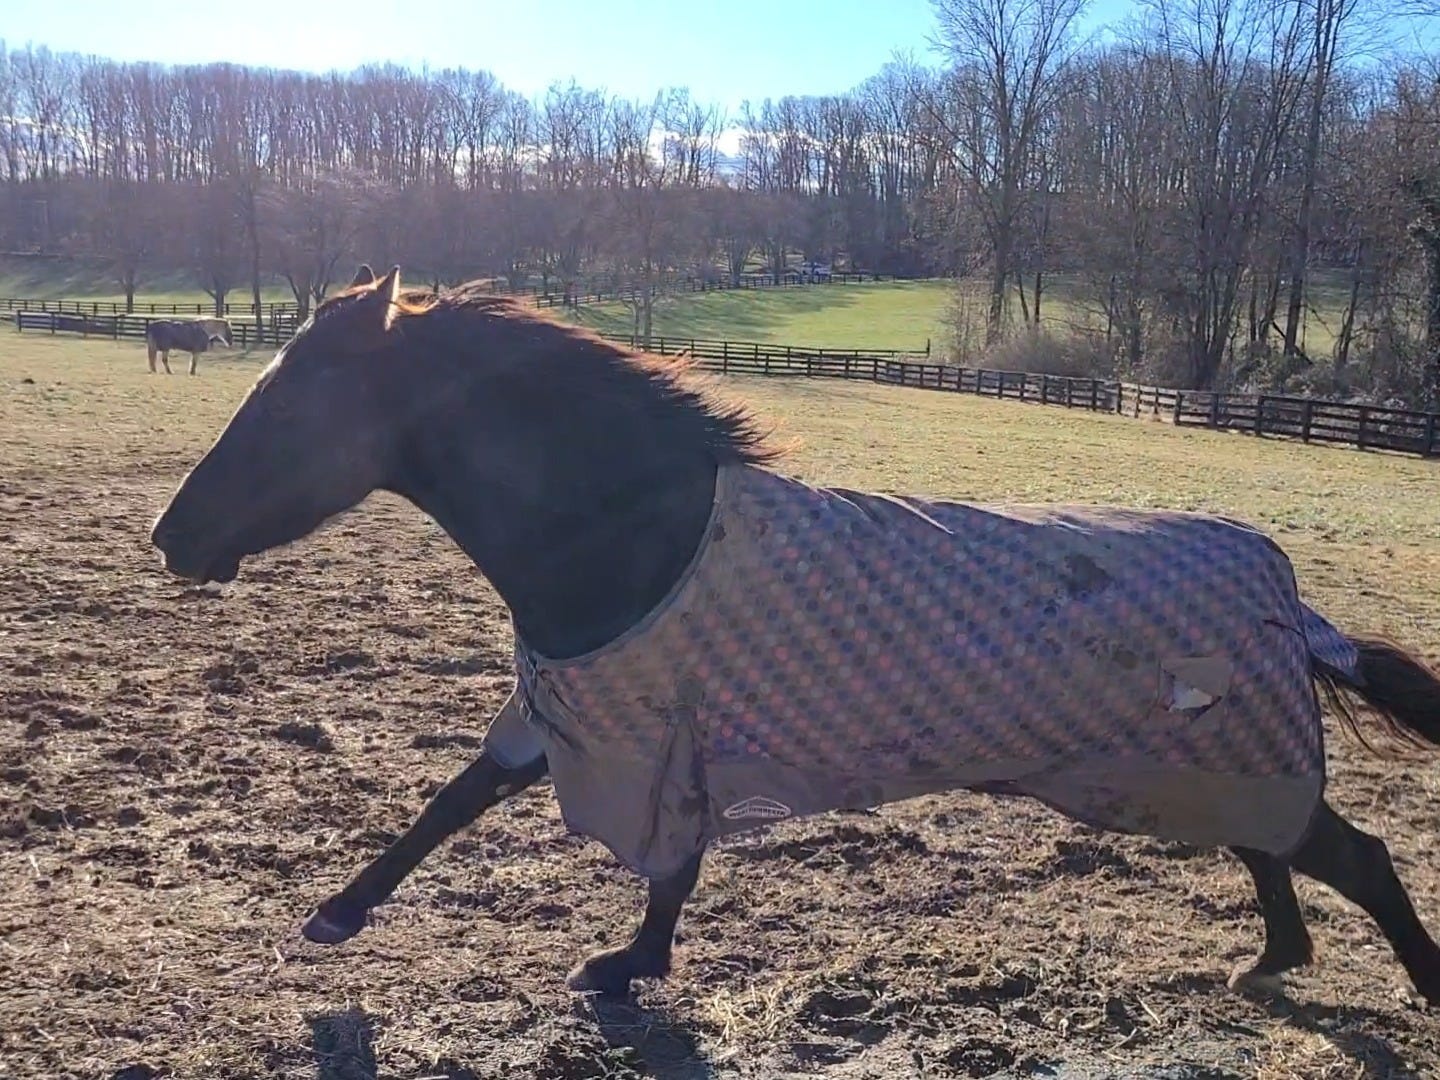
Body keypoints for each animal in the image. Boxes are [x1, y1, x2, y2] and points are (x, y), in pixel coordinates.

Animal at [149, 264, 1440, 1005]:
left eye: (283, 407)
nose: (171, 537)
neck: (641, 538)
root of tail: (1289, 597)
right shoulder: (580, 713)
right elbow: (454, 803)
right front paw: (342, 914)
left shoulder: (652, 733)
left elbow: (654, 862)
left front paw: (622, 969)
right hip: (1200, 766)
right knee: (1273, 853)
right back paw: (1271, 960)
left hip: (1219, 759)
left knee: (1360, 858)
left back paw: (1411, 984)